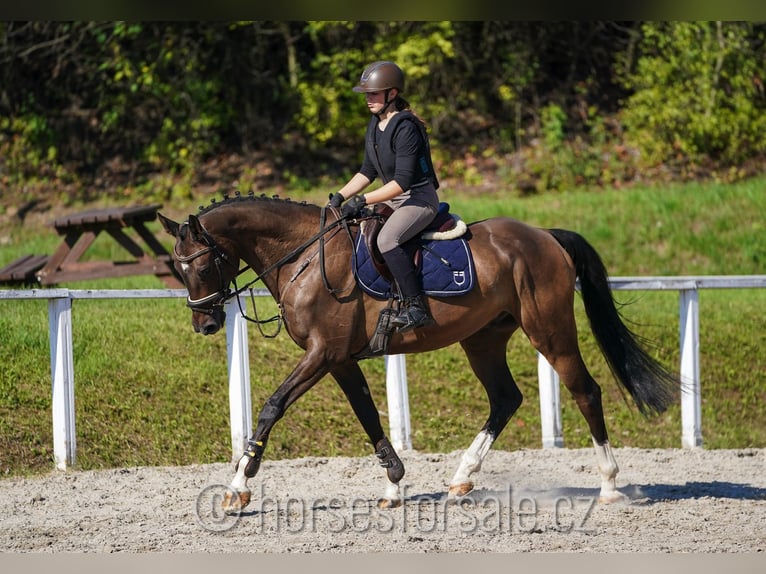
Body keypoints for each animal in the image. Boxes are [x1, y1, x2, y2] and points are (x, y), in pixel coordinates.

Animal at [159, 191, 680, 516]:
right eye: (177, 269)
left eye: (201, 265)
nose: (205, 324)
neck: (305, 255)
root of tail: (544, 235)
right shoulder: (339, 359)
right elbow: (368, 415)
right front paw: (393, 484)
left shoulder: (323, 354)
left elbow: (272, 407)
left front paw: (238, 488)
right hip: (483, 339)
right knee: (505, 399)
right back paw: (461, 479)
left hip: (549, 331)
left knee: (586, 391)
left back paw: (609, 485)